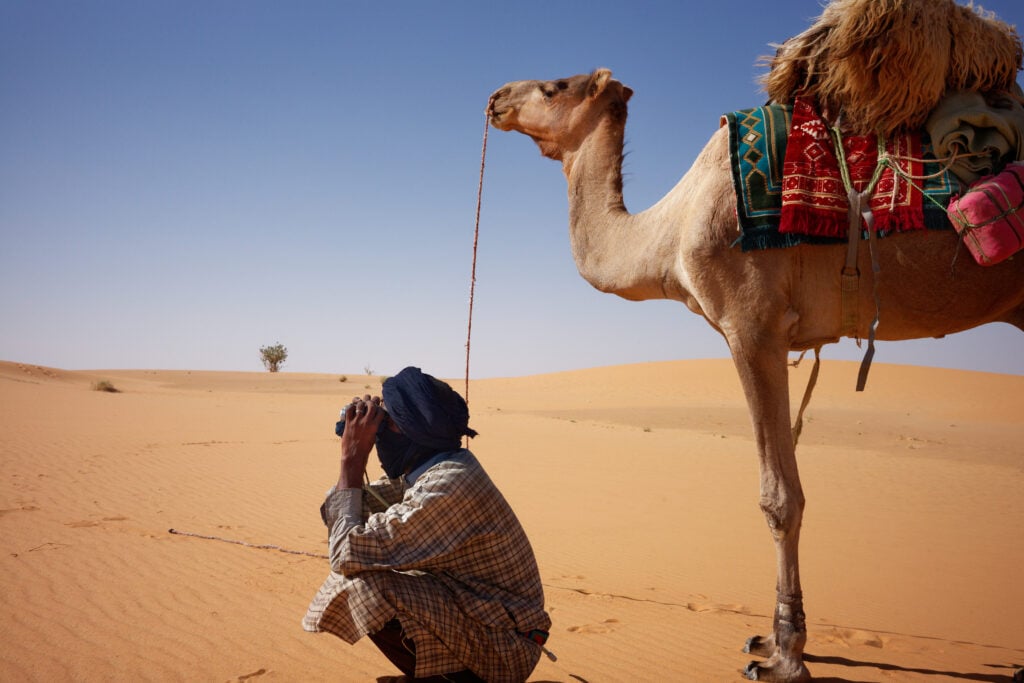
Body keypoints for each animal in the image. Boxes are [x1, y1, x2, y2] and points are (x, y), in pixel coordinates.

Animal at [485, 68, 1024, 679]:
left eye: (554, 86)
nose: (496, 98)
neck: (671, 232)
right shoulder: (772, 337)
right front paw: (768, 640)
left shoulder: (751, 324)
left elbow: (780, 498)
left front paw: (787, 655)